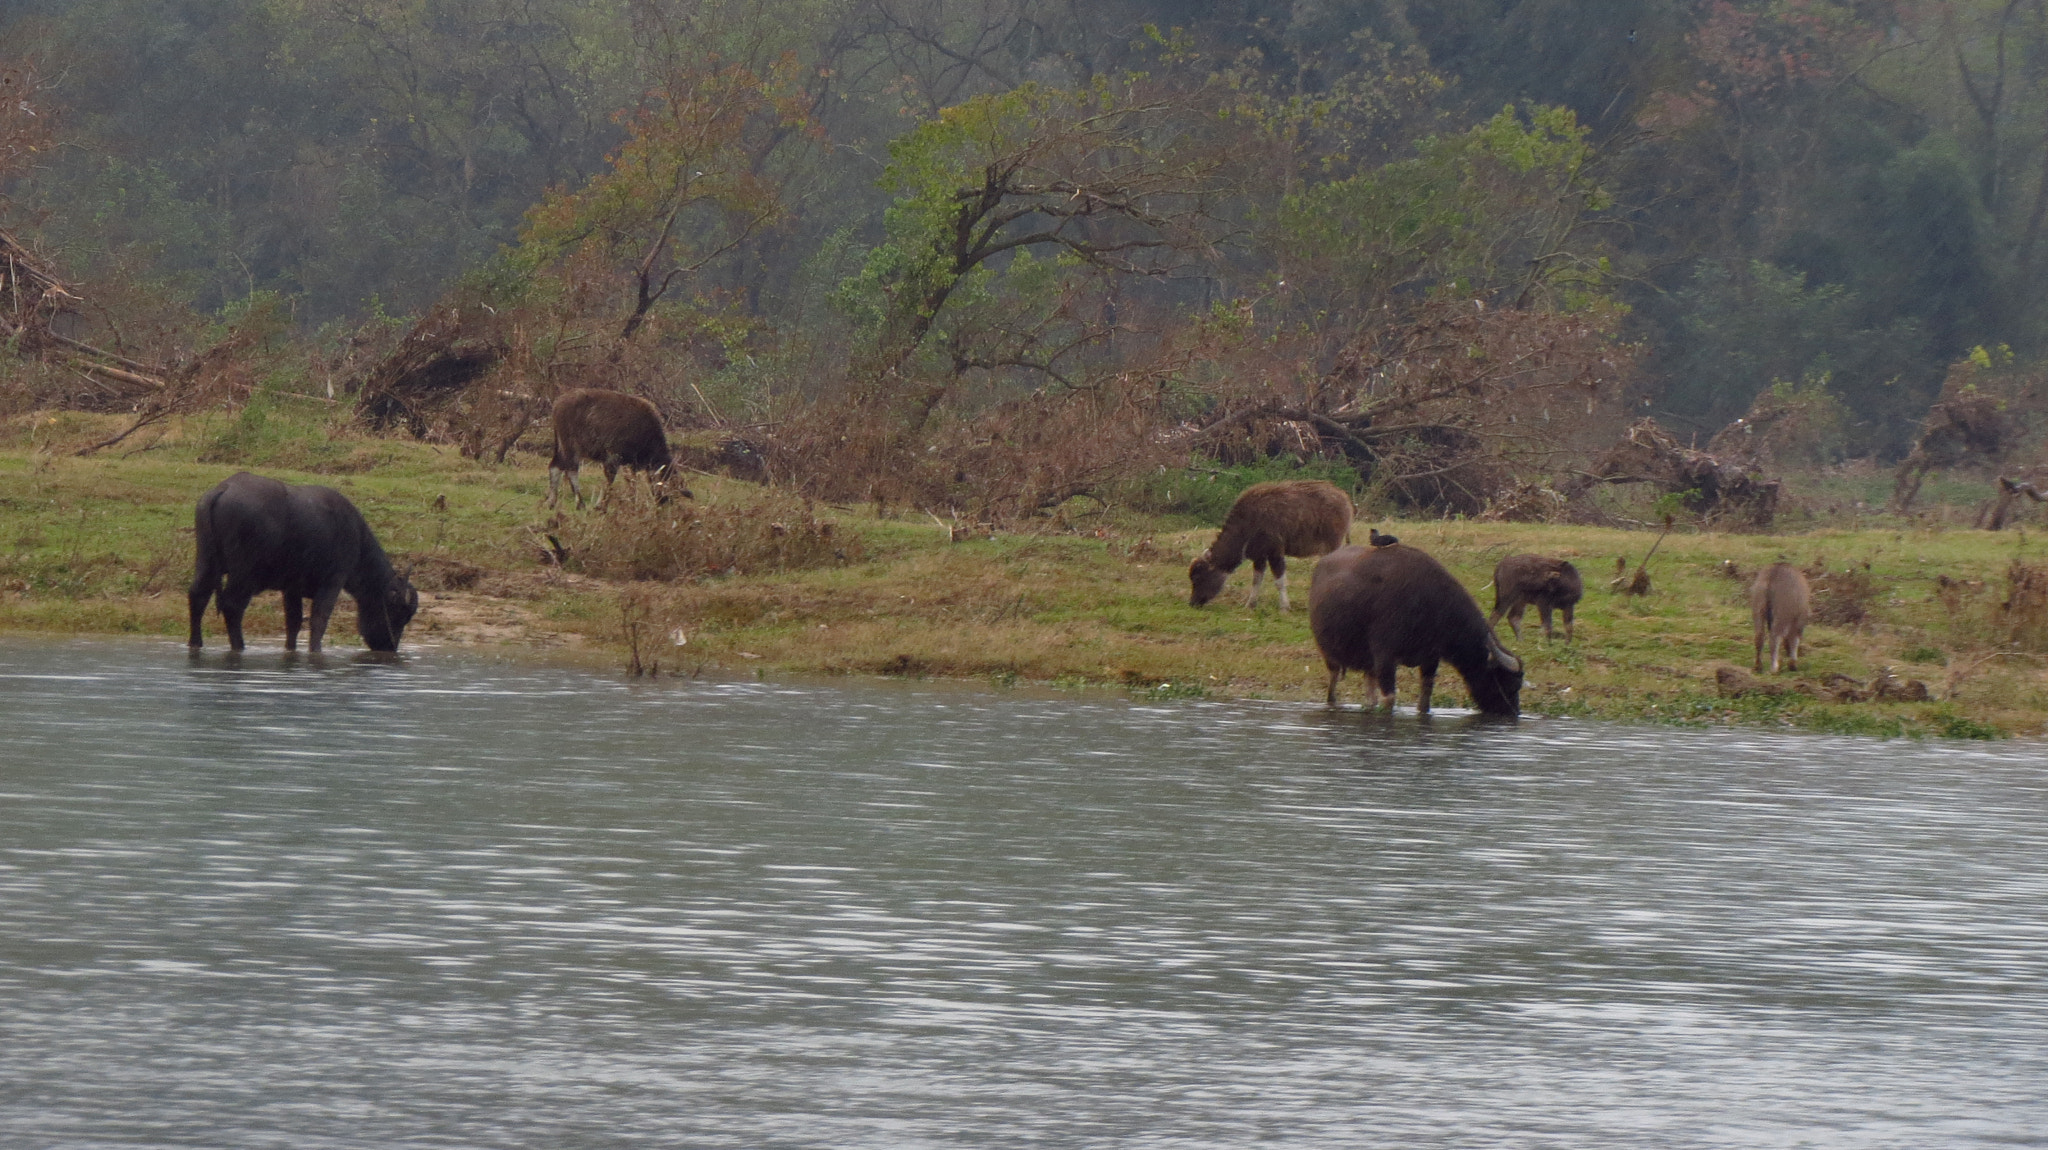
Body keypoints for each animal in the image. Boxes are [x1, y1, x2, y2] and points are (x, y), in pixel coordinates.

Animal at [188, 470, 419, 650]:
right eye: (399, 614)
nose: (389, 647)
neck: (357, 538)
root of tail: (224, 488)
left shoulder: (292, 589)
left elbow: (294, 622)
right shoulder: (333, 581)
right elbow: (319, 620)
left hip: (206, 562)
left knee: (197, 596)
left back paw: (195, 643)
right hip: (244, 574)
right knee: (232, 606)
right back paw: (239, 647)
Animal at [548, 386, 692, 507]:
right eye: (665, 483)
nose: (664, 502)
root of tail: (557, 404)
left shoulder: (631, 464)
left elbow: (632, 483)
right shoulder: (613, 459)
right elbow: (611, 481)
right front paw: (601, 505)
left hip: (561, 447)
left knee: (555, 467)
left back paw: (552, 502)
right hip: (571, 447)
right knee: (571, 470)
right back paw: (580, 503)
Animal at [1187, 476, 1359, 609]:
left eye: (1198, 577)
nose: (1193, 603)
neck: (1248, 524)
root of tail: (1345, 499)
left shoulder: (1275, 552)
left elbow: (1279, 581)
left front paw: (1284, 607)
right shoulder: (1259, 556)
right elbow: (1256, 580)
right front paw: (1250, 604)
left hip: (1333, 544)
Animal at [1310, 540, 1523, 712]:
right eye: (1509, 684)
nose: (1512, 713)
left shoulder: (1430, 659)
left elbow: (1425, 700)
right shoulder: (1385, 658)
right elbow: (1389, 699)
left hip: (1368, 665)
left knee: (1370, 696)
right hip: (1330, 655)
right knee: (1333, 684)